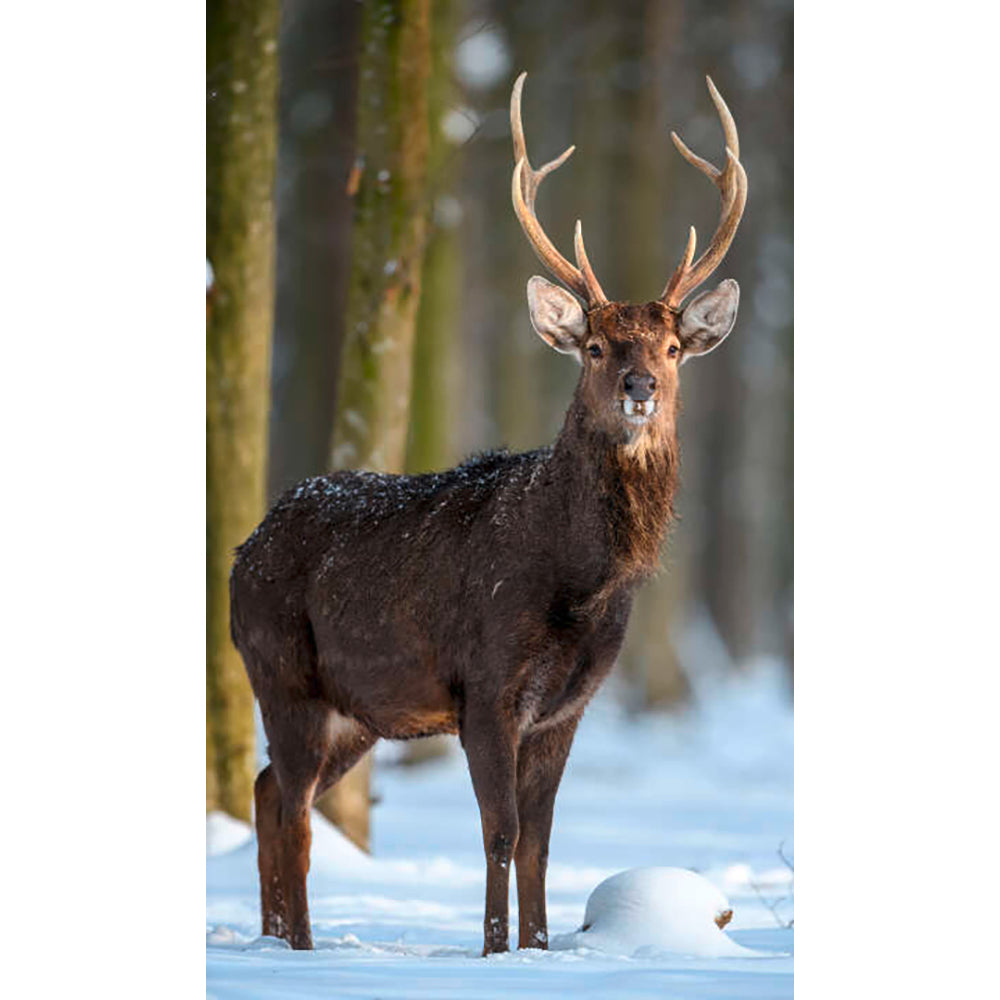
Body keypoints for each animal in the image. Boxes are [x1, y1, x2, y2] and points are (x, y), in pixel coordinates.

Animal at [229, 70, 748, 956]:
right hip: (281, 669)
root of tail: (239, 555)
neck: (576, 583)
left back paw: (274, 937)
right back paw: (298, 948)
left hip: (358, 710)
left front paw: (536, 949)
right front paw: (492, 950)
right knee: (292, 809)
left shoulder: (568, 705)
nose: (640, 386)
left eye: (673, 347)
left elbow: (541, 839)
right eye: (596, 347)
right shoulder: (485, 682)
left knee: (267, 791)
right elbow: (499, 830)